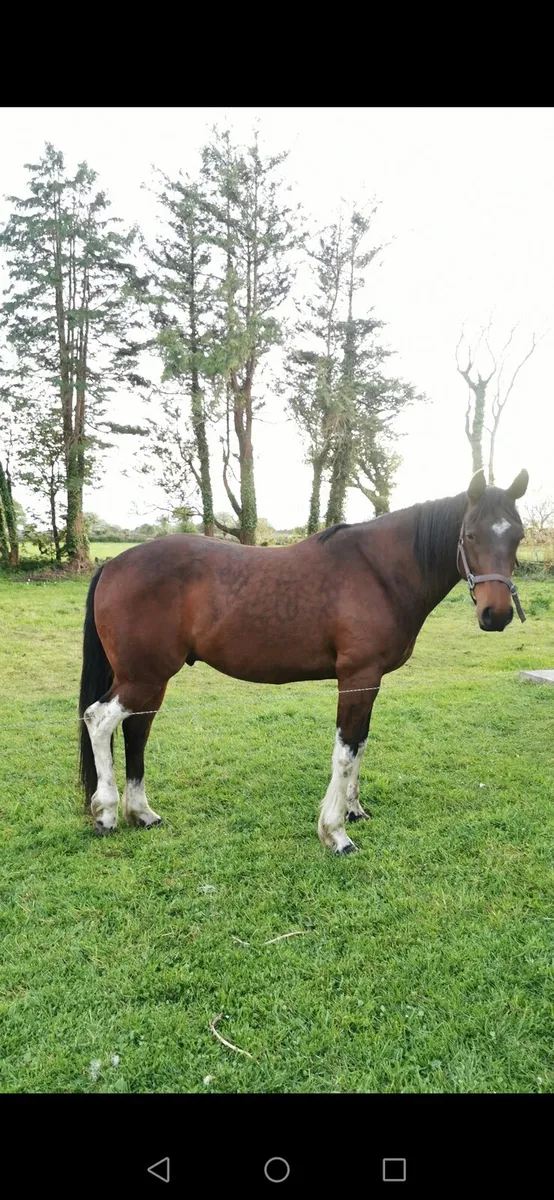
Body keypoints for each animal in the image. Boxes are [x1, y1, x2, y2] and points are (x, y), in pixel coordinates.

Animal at [78, 467, 528, 853]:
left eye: (519, 536)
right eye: (470, 534)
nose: (497, 614)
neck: (379, 571)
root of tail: (114, 564)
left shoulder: (371, 681)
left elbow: (360, 744)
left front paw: (354, 810)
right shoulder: (357, 676)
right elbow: (345, 750)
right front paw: (336, 833)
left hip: (150, 679)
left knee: (136, 731)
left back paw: (142, 813)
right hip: (142, 677)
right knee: (98, 720)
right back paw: (106, 814)